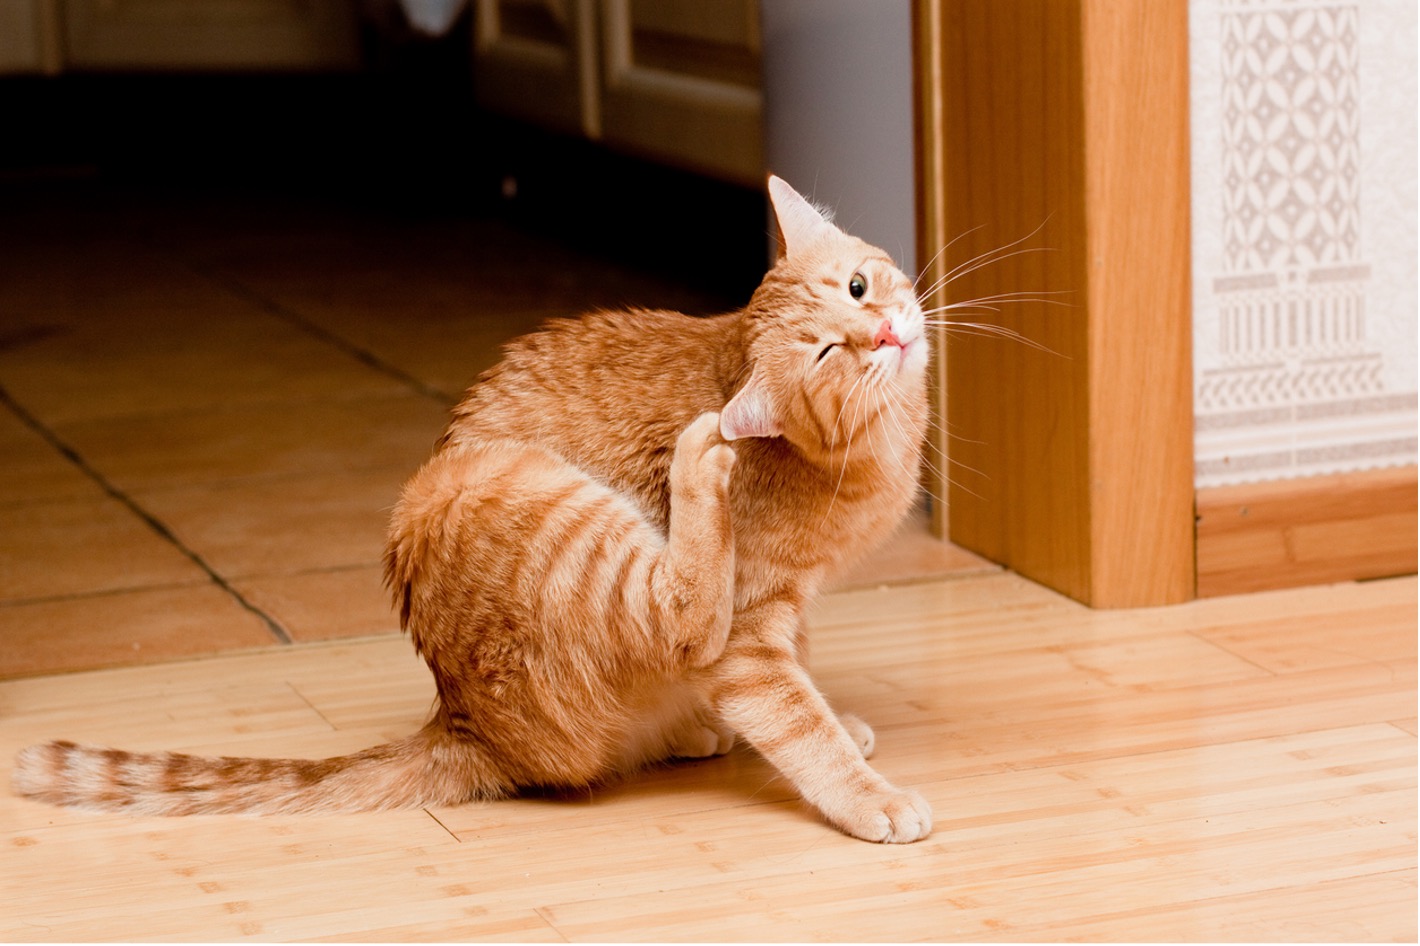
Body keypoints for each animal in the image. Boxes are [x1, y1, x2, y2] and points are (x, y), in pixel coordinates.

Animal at [19, 174, 942, 840]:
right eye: (826, 351)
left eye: (860, 285)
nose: (885, 335)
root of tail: (464, 722)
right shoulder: (749, 631)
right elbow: (793, 717)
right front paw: (870, 796)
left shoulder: (788, 613)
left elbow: (800, 683)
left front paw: (832, 722)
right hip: (506, 493)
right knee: (679, 614)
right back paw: (696, 460)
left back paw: (693, 730)